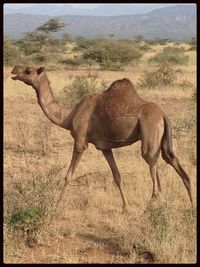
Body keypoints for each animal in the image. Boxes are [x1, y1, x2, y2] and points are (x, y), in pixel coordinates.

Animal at [11, 65, 194, 211]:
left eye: (28, 70)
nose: (13, 70)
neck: (68, 116)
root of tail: (163, 114)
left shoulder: (80, 142)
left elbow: (68, 175)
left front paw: (56, 205)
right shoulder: (105, 147)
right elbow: (117, 176)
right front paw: (125, 208)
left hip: (150, 134)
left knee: (152, 167)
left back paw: (147, 209)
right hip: (162, 141)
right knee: (173, 163)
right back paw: (191, 206)